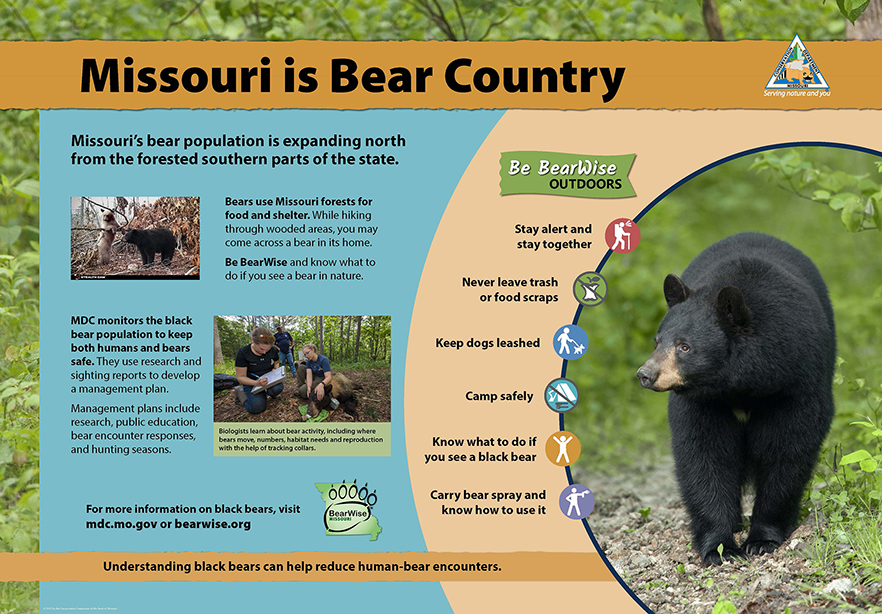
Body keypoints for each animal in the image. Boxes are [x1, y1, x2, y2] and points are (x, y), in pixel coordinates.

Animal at [636, 232, 835, 566]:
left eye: (685, 346)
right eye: (657, 341)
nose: (645, 374)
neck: (739, 383)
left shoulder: (795, 381)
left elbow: (787, 447)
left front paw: (762, 538)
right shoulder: (701, 402)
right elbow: (704, 454)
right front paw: (721, 546)